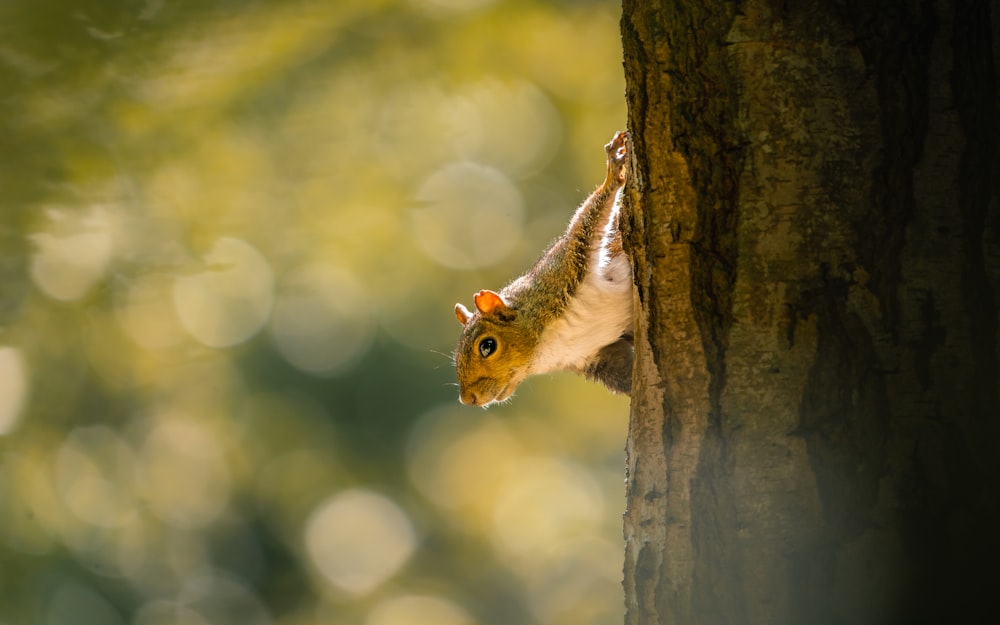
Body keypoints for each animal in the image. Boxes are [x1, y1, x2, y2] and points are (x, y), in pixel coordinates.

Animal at [454, 129, 632, 408]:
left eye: (487, 346)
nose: (468, 399)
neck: (547, 345)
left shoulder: (565, 268)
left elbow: (589, 219)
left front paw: (613, 172)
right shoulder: (596, 353)